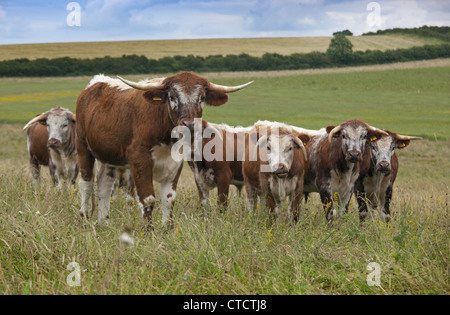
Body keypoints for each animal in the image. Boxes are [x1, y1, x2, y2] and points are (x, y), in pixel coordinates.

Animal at [76, 71, 255, 227]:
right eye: (172, 96)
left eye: (202, 97)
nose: (190, 124)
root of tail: (96, 82)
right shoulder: (140, 160)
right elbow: (148, 198)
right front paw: (148, 231)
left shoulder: (176, 163)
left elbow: (169, 198)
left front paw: (166, 228)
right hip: (83, 147)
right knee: (86, 183)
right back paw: (84, 217)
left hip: (110, 157)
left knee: (104, 184)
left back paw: (103, 222)